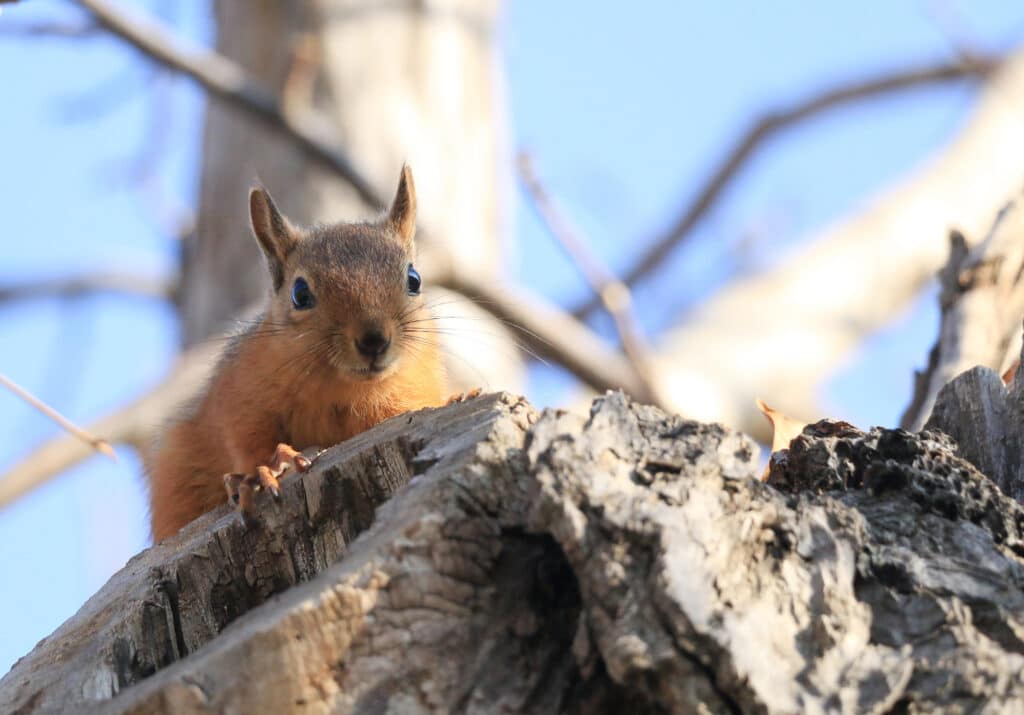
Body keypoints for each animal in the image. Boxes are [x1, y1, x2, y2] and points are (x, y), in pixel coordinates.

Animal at [146, 165, 456, 541]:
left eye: (414, 279)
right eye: (299, 293)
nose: (373, 340)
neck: (342, 389)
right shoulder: (238, 400)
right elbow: (246, 441)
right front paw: (267, 467)